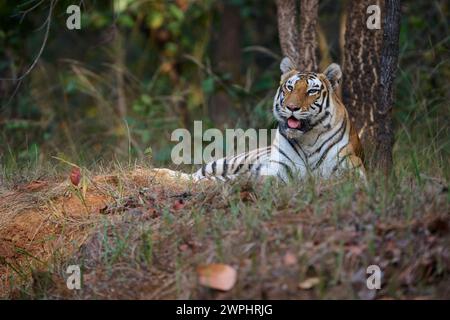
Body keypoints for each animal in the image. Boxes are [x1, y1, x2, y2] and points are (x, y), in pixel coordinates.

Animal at [158, 56, 366, 184]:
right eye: (289, 87)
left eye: (311, 91)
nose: (291, 107)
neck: (307, 138)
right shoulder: (280, 170)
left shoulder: (353, 169)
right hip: (228, 161)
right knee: (194, 175)